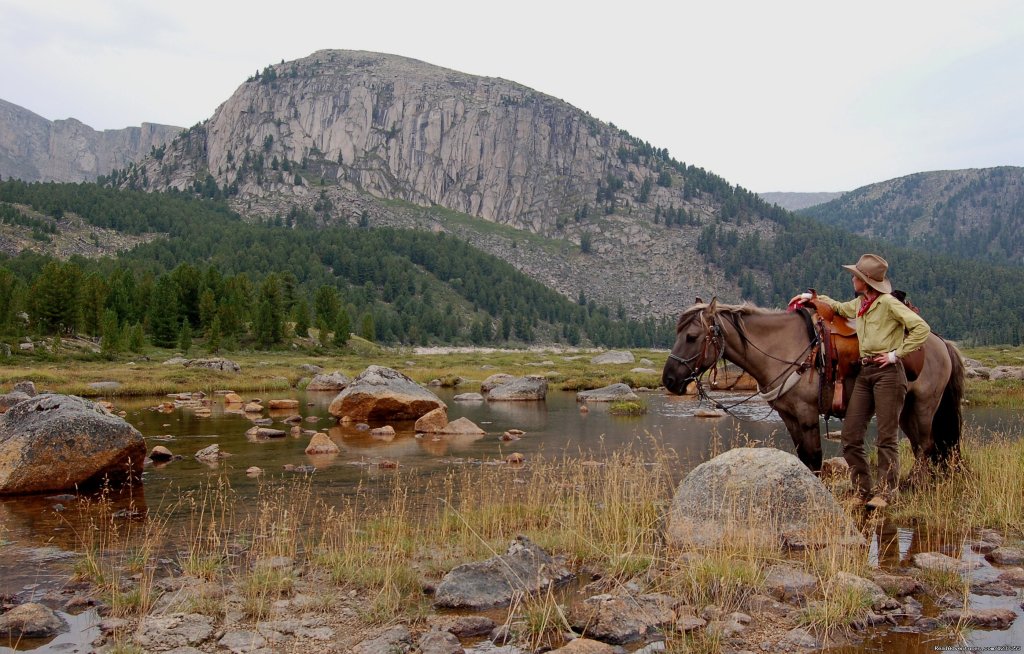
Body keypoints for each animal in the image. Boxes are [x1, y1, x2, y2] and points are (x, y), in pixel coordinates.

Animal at [659, 298, 962, 481]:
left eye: (691, 337)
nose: (669, 379)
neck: (783, 348)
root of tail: (940, 341)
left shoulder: (807, 413)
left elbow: (814, 457)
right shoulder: (789, 415)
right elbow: (803, 457)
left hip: (923, 406)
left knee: (926, 445)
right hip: (906, 410)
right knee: (923, 446)